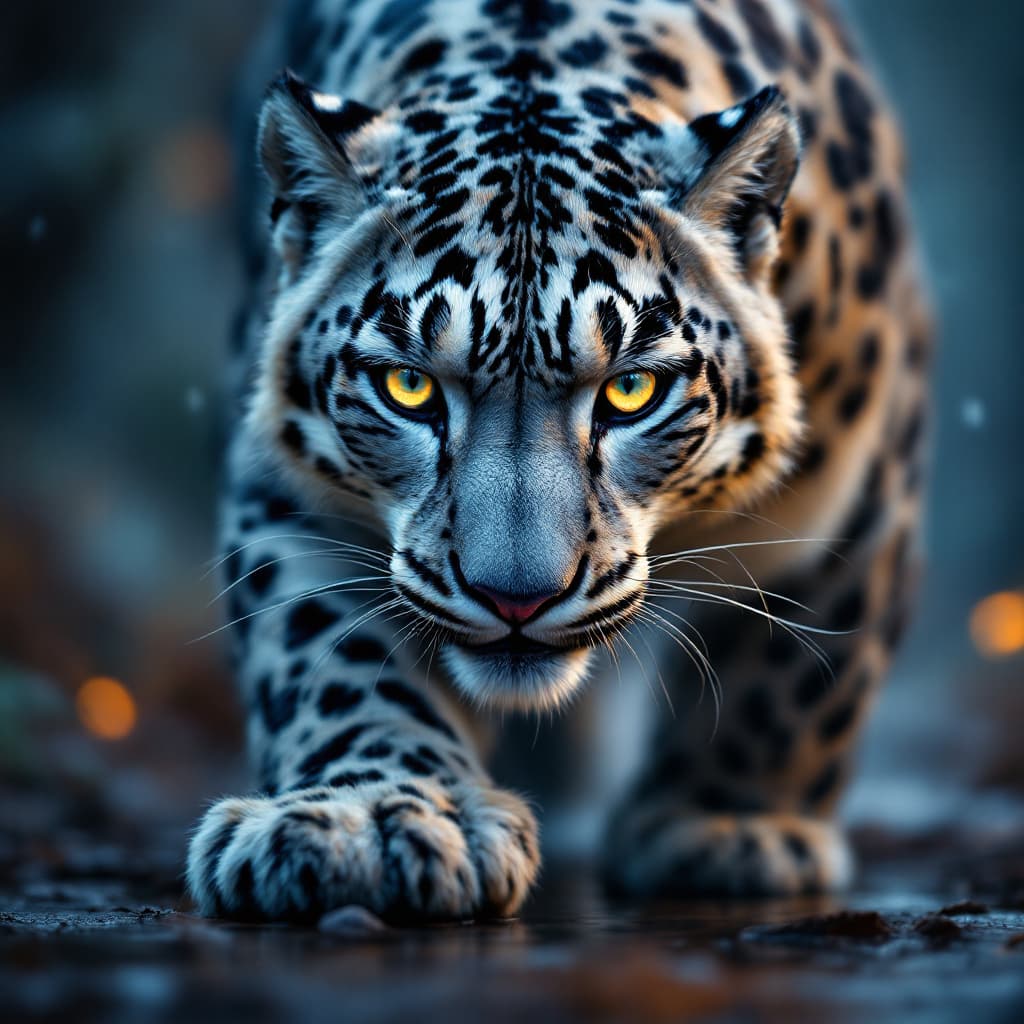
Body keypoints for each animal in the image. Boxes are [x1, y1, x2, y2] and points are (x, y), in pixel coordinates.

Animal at [187, 0, 930, 922]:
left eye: (632, 391)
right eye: (407, 387)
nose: (516, 599)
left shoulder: (857, 480)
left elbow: (796, 674)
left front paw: (726, 830)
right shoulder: (290, 492)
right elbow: (329, 657)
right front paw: (371, 818)